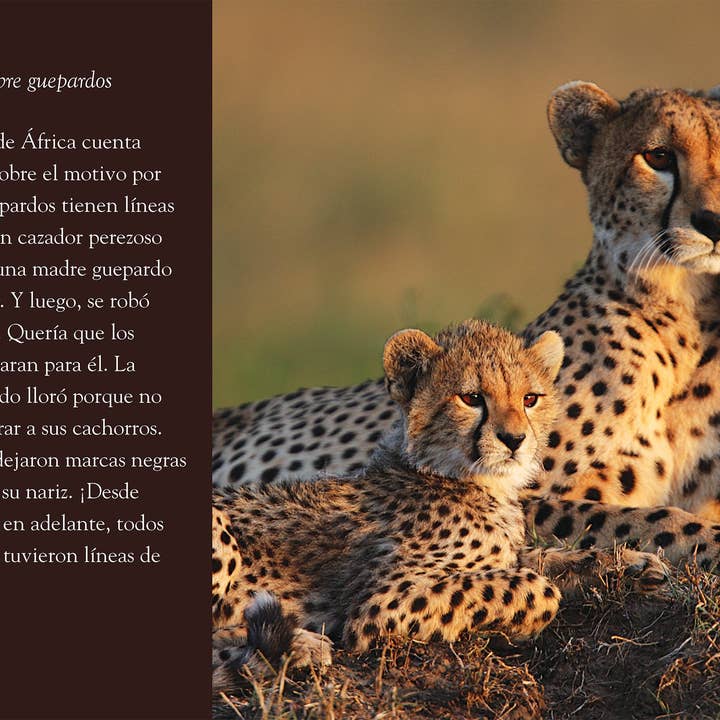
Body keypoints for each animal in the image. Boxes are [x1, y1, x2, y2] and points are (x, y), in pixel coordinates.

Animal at [212, 320, 667, 690]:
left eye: (530, 399)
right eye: (472, 398)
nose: (515, 439)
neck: (467, 478)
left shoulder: (506, 553)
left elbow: (550, 558)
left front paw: (633, 564)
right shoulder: (380, 605)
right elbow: (536, 586)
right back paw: (299, 646)